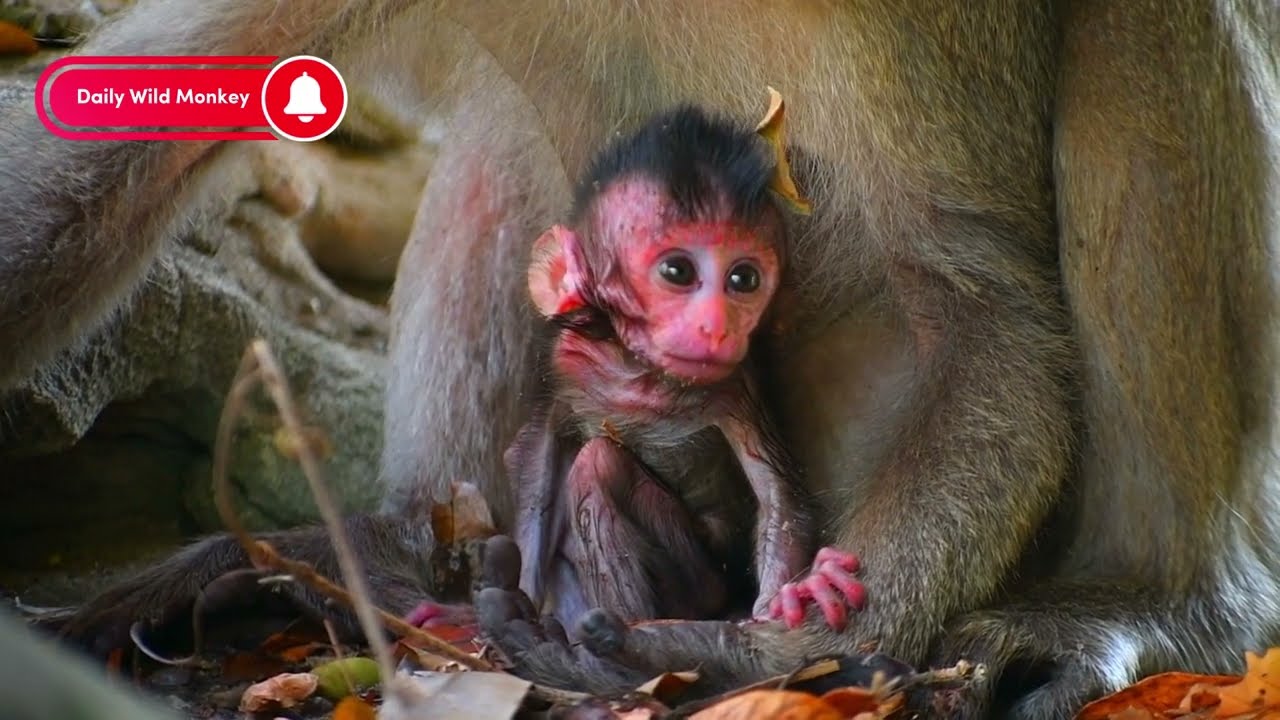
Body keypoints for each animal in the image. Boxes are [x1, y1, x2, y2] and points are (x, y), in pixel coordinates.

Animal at [506, 102, 863, 630]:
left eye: (744, 279)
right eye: (677, 272)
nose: (716, 326)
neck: (640, 373)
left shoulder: (738, 386)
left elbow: (778, 496)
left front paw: (791, 592)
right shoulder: (562, 364)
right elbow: (535, 465)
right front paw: (521, 597)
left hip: (705, 579)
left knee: (599, 463)